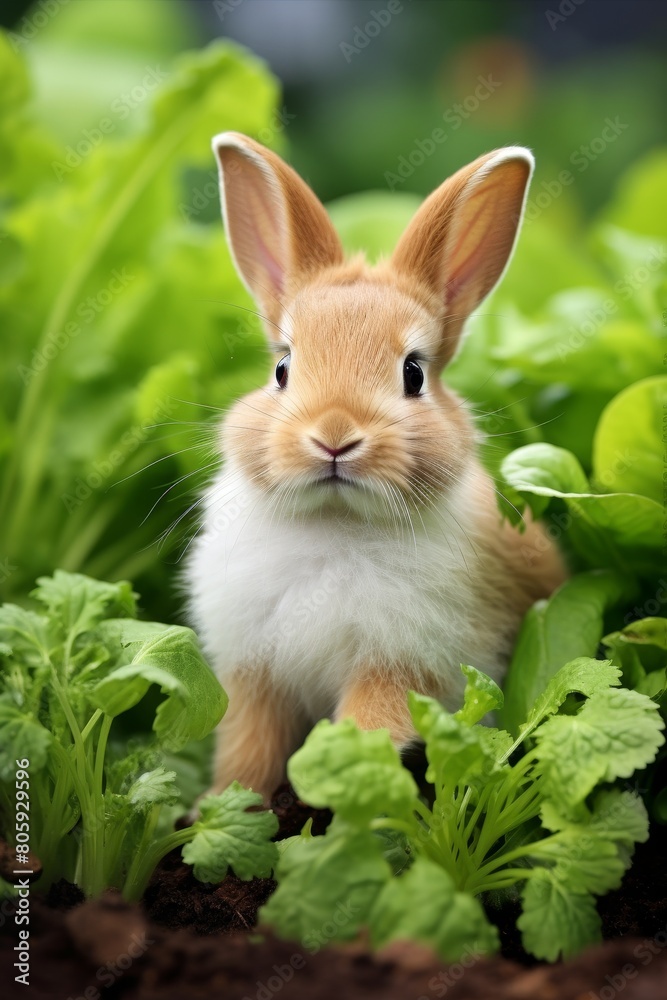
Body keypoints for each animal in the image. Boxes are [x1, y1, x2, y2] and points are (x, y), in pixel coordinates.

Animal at [186, 132, 566, 804]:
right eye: (282, 368)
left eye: (413, 373)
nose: (334, 437)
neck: (334, 520)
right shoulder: (256, 676)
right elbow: (248, 748)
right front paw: (223, 806)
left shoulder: (399, 668)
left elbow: (368, 730)